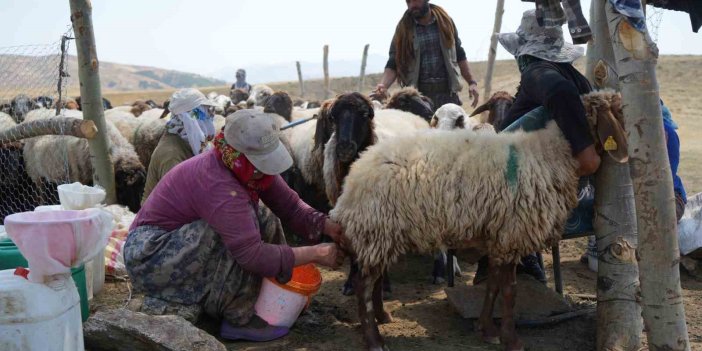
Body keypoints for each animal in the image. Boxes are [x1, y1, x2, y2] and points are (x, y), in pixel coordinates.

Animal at [332, 91, 632, 351]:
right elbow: (509, 291)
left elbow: (493, 286)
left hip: (382, 232)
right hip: (377, 227)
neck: (552, 155)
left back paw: (382, 317)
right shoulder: (514, 233)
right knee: (363, 285)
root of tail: (353, 179)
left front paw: (487, 330)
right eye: (618, 111)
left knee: (375, 279)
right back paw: (374, 339)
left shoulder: (499, 236)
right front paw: (512, 340)